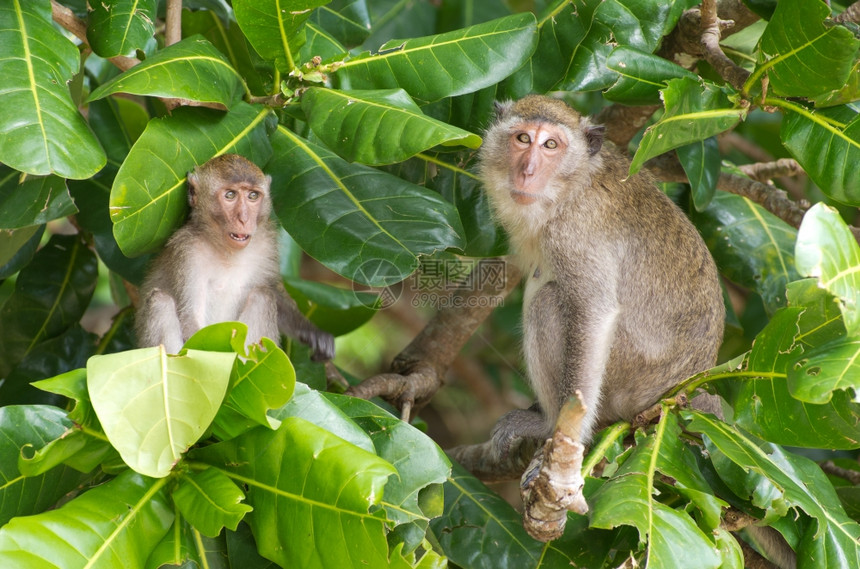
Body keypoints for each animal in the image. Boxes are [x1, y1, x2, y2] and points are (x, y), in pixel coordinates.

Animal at [136, 154, 334, 360]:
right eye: (230, 195)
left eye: (253, 196)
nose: (244, 219)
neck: (226, 251)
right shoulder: (187, 252)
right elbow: (190, 317)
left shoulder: (266, 244)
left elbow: (274, 291)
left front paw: (312, 334)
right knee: (160, 301)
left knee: (263, 296)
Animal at [480, 95, 724, 452]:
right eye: (523, 138)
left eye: (551, 145)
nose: (528, 172)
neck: (571, 186)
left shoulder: (574, 232)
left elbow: (592, 312)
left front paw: (563, 433)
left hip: (628, 382)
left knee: (546, 302)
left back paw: (547, 423)